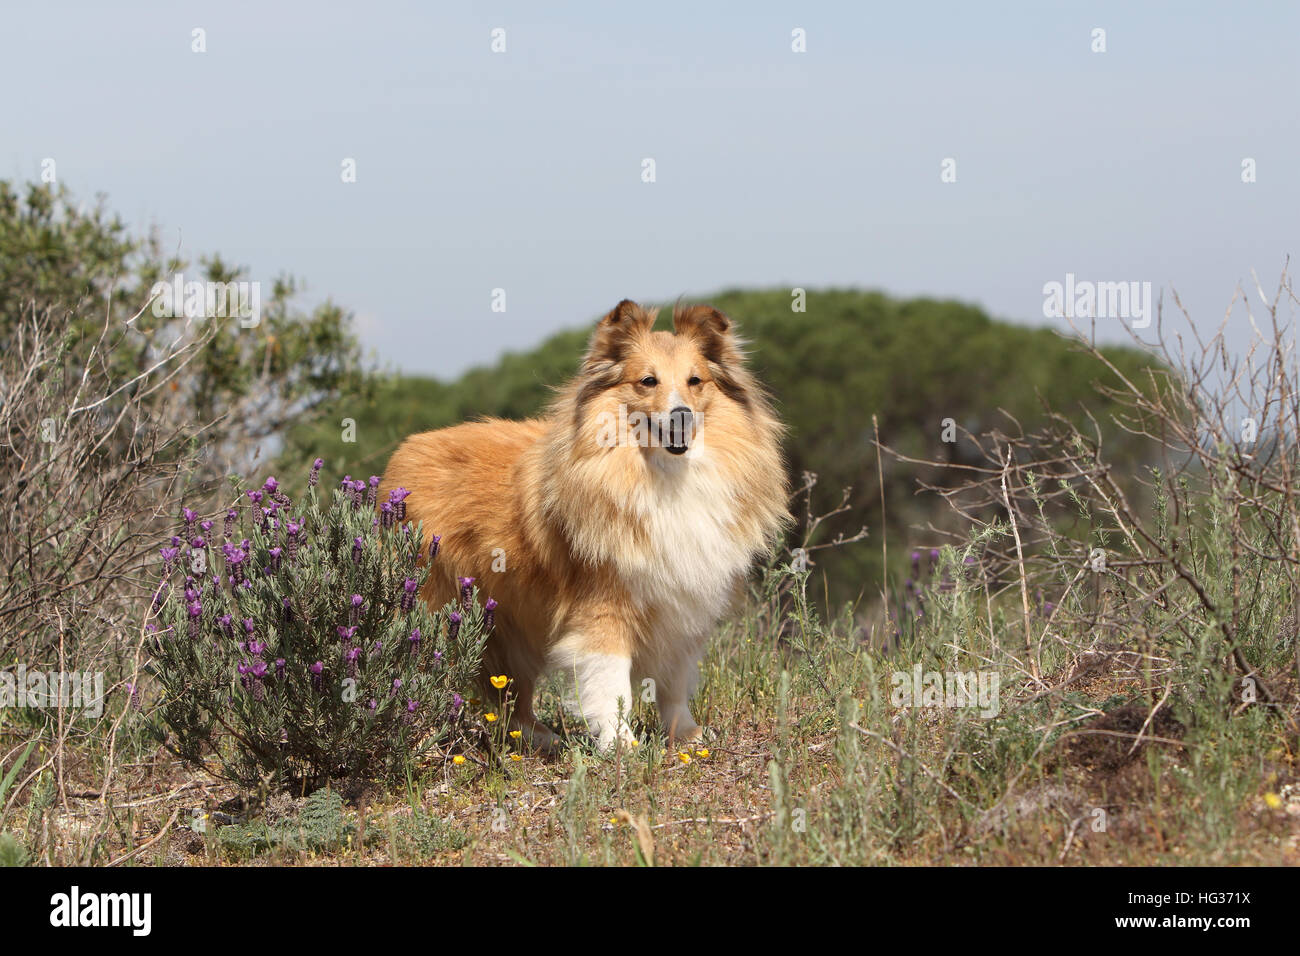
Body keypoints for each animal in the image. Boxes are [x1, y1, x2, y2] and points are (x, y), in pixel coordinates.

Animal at [379, 299, 785, 749]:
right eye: (647, 381)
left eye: (695, 381)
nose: (681, 415)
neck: (661, 473)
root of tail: (403, 455)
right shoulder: (602, 606)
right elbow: (612, 682)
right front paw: (621, 743)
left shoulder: (681, 605)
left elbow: (675, 682)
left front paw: (686, 735)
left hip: (509, 626)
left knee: (510, 696)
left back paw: (543, 739)